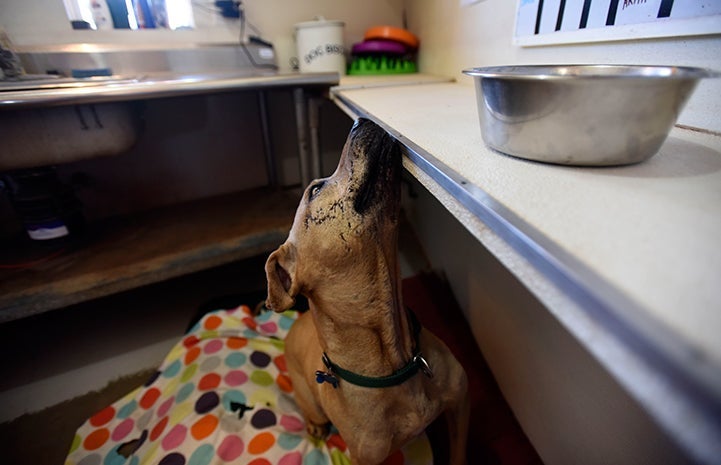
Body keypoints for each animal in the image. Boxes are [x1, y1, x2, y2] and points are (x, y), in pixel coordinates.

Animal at [266, 118, 472, 462]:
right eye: (315, 189)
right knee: (313, 413)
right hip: (307, 398)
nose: (360, 120)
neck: (396, 360)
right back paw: (315, 427)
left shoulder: (458, 407)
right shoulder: (366, 457)